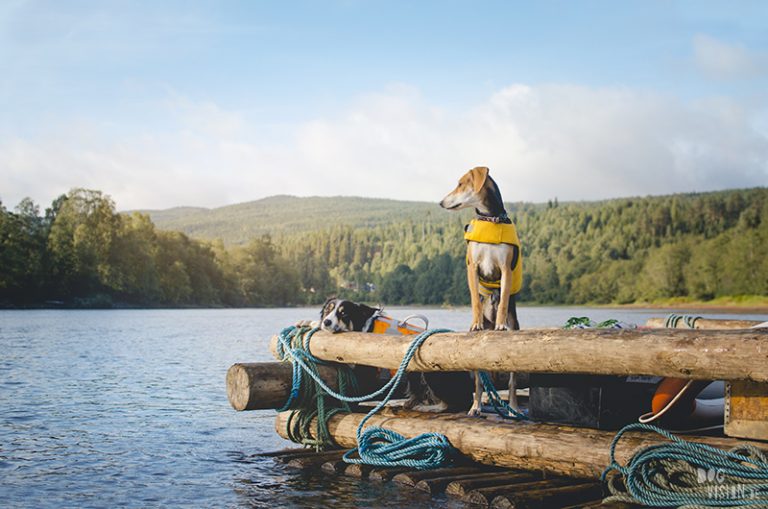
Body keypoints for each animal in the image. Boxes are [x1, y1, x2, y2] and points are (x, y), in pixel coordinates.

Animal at [440, 169, 524, 414]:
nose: (441, 202)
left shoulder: (505, 269)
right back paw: (476, 406)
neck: (490, 219)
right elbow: (475, 301)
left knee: (512, 382)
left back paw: (513, 406)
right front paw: (476, 322)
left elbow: (503, 299)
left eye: (460, 184)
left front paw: (500, 324)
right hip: (475, 358)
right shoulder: (472, 267)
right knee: (478, 381)